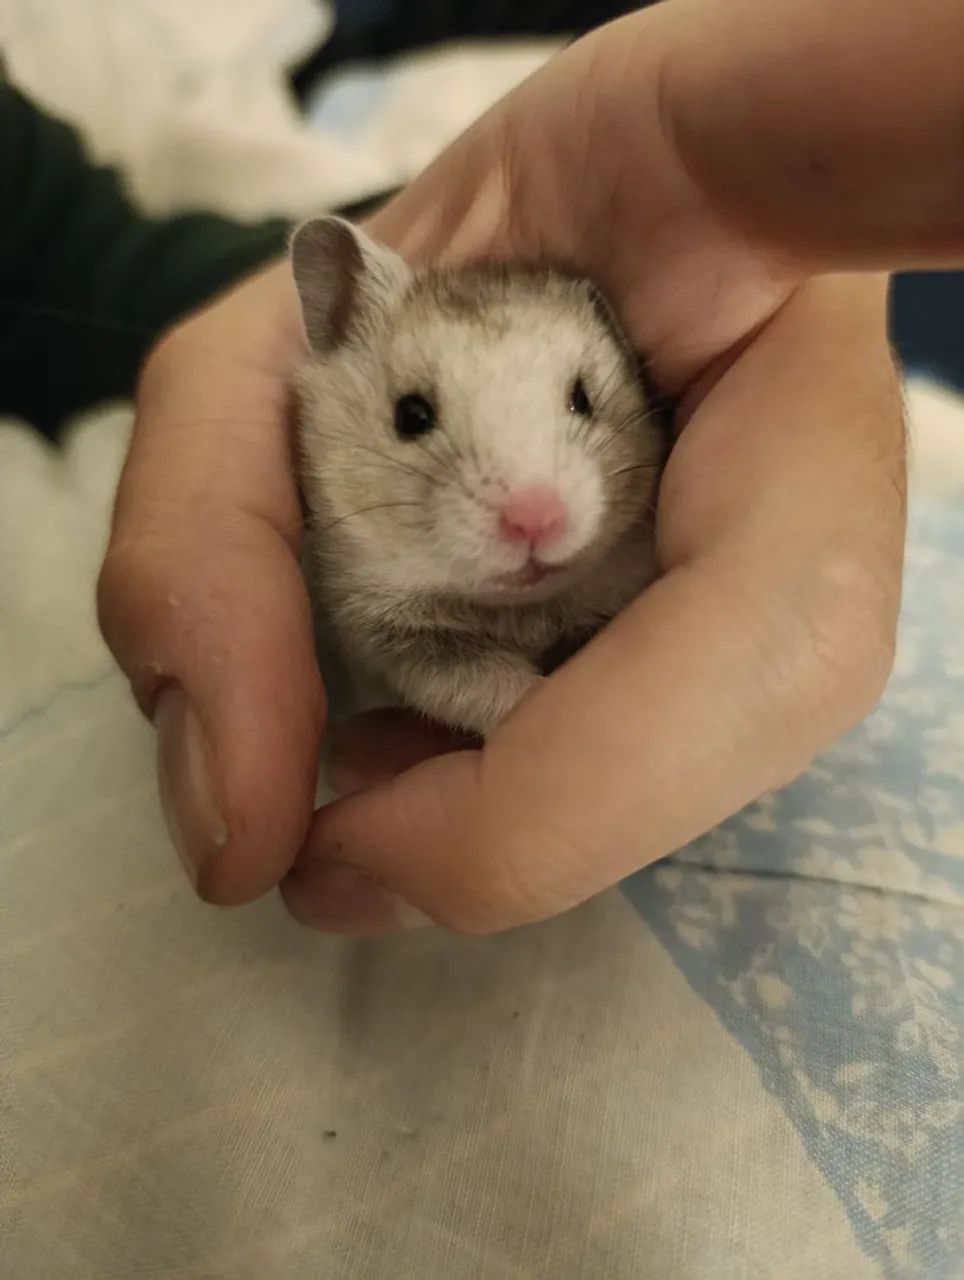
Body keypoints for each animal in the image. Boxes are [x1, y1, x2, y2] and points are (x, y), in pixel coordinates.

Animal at [291, 216, 669, 738]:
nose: (535, 519)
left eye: (583, 398)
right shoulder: (394, 635)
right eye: (410, 415)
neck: (517, 608)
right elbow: (485, 685)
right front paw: (536, 696)